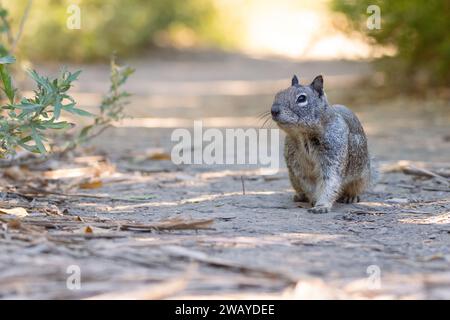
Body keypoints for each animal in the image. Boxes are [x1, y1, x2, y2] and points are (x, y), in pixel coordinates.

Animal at [270, 75, 372, 214]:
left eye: (301, 98)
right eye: (278, 94)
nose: (273, 110)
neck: (303, 135)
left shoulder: (333, 156)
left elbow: (329, 182)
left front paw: (321, 206)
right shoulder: (298, 164)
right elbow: (309, 184)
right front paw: (314, 200)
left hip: (361, 177)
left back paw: (350, 197)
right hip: (293, 179)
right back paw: (300, 196)